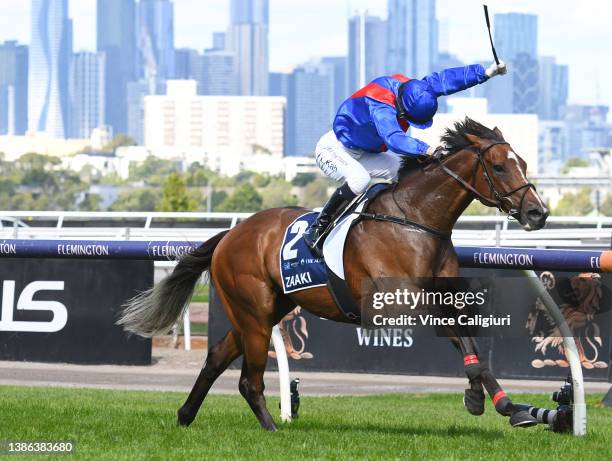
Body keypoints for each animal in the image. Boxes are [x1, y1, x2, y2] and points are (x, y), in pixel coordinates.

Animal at [118, 117, 548, 432]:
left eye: (524, 164)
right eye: (498, 166)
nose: (537, 213)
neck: (413, 220)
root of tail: (231, 234)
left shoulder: (443, 298)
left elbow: (470, 340)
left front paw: (510, 407)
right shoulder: (403, 303)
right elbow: (462, 340)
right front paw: (478, 398)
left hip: (263, 312)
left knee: (215, 359)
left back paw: (185, 415)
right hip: (254, 313)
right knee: (248, 381)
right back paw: (272, 428)